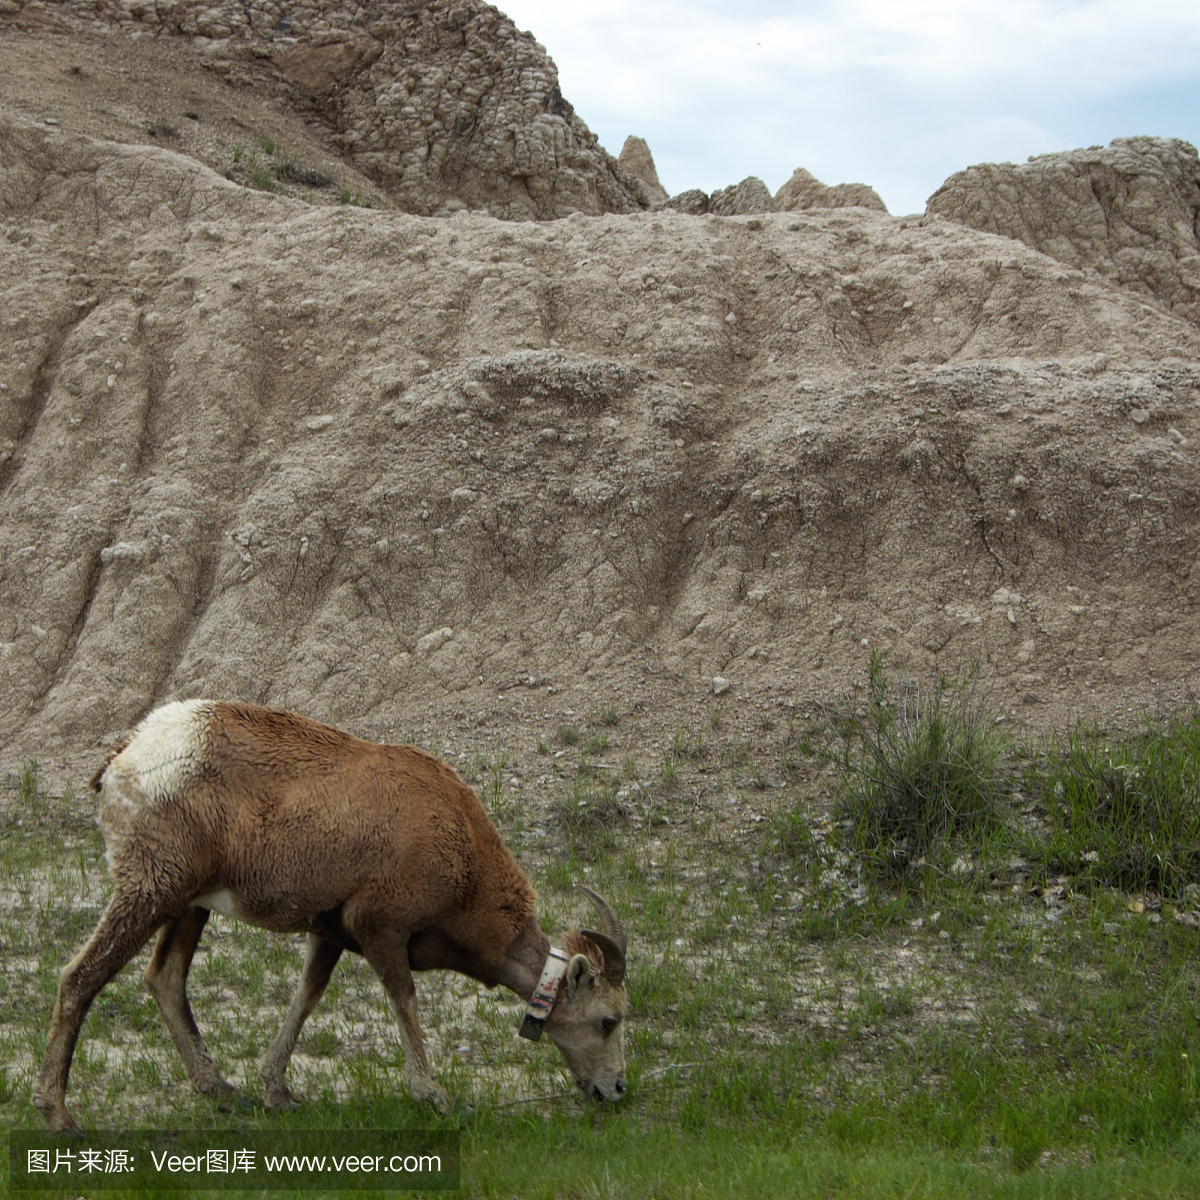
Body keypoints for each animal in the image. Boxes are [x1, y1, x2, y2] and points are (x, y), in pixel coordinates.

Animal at [31, 700, 628, 1128]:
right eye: (608, 1020)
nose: (615, 1090)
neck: (457, 847)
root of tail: (127, 754)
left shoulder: (332, 934)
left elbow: (306, 997)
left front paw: (277, 1093)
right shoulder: (381, 931)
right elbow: (404, 1003)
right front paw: (435, 1096)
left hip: (187, 904)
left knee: (166, 979)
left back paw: (224, 1093)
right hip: (150, 892)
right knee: (80, 978)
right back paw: (59, 1117)